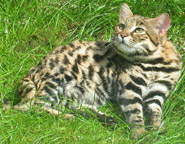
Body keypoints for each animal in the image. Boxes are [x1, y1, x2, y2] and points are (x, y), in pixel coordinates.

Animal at [3, 3, 181, 138]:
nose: (122, 35)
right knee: (32, 107)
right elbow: (135, 112)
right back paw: (69, 117)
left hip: (85, 93)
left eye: (138, 30)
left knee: (70, 106)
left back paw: (104, 118)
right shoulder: (130, 87)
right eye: (121, 26)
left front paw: (156, 129)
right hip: (60, 79)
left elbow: (155, 113)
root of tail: (31, 72)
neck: (156, 62)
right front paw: (140, 134)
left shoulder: (157, 92)